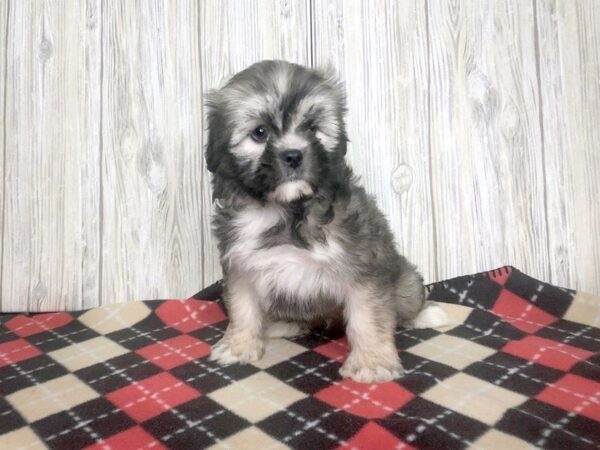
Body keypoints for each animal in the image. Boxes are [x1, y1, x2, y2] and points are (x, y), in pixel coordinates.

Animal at [206, 60, 446, 384]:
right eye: (260, 132)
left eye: (311, 128)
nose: (293, 155)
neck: (287, 211)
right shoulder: (241, 265)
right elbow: (242, 307)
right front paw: (239, 345)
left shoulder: (364, 268)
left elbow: (368, 317)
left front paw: (372, 362)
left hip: (404, 281)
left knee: (407, 302)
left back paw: (426, 314)